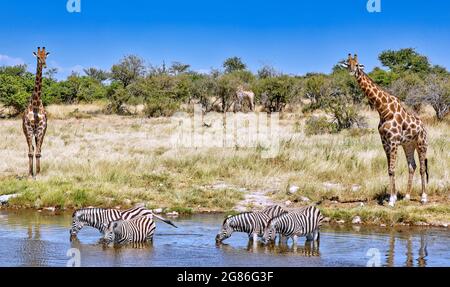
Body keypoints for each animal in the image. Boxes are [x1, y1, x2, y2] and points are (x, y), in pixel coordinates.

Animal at [342, 54, 428, 207]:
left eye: (357, 64)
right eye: (348, 64)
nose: (352, 71)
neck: (383, 110)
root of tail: (423, 127)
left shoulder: (393, 141)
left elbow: (392, 169)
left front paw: (392, 201)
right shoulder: (385, 142)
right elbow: (389, 170)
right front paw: (392, 198)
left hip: (421, 143)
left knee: (423, 168)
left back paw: (424, 198)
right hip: (408, 145)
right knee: (412, 166)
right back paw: (407, 196)